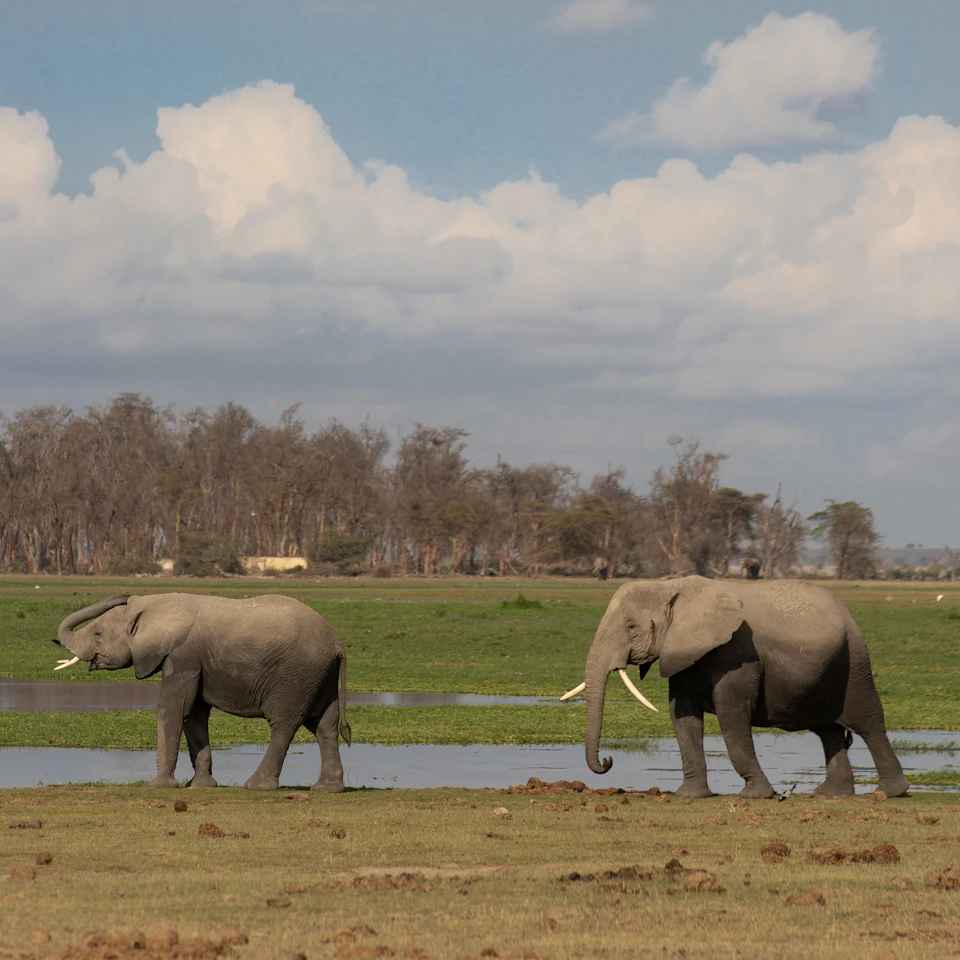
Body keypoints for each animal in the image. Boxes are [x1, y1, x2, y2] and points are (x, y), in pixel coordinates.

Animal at [53, 593, 351, 791]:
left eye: (98, 634)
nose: (124, 596)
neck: (156, 604)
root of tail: (338, 645)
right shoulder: (195, 662)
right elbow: (195, 714)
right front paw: (200, 786)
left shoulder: (182, 656)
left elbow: (173, 709)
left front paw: (159, 786)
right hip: (320, 676)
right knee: (324, 725)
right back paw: (326, 789)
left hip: (296, 675)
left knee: (284, 723)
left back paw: (256, 786)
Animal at [561, 576, 908, 799]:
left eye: (631, 627)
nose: (607, 761)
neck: (671, 586)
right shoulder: (684, 652)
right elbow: (682, 717)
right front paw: (689, 795)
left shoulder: (738, 654)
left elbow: (731, 716)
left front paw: (754, 796)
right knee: (828, 729)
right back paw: (830, 796)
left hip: (854, 660)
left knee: (868, 722)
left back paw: (888, 793)